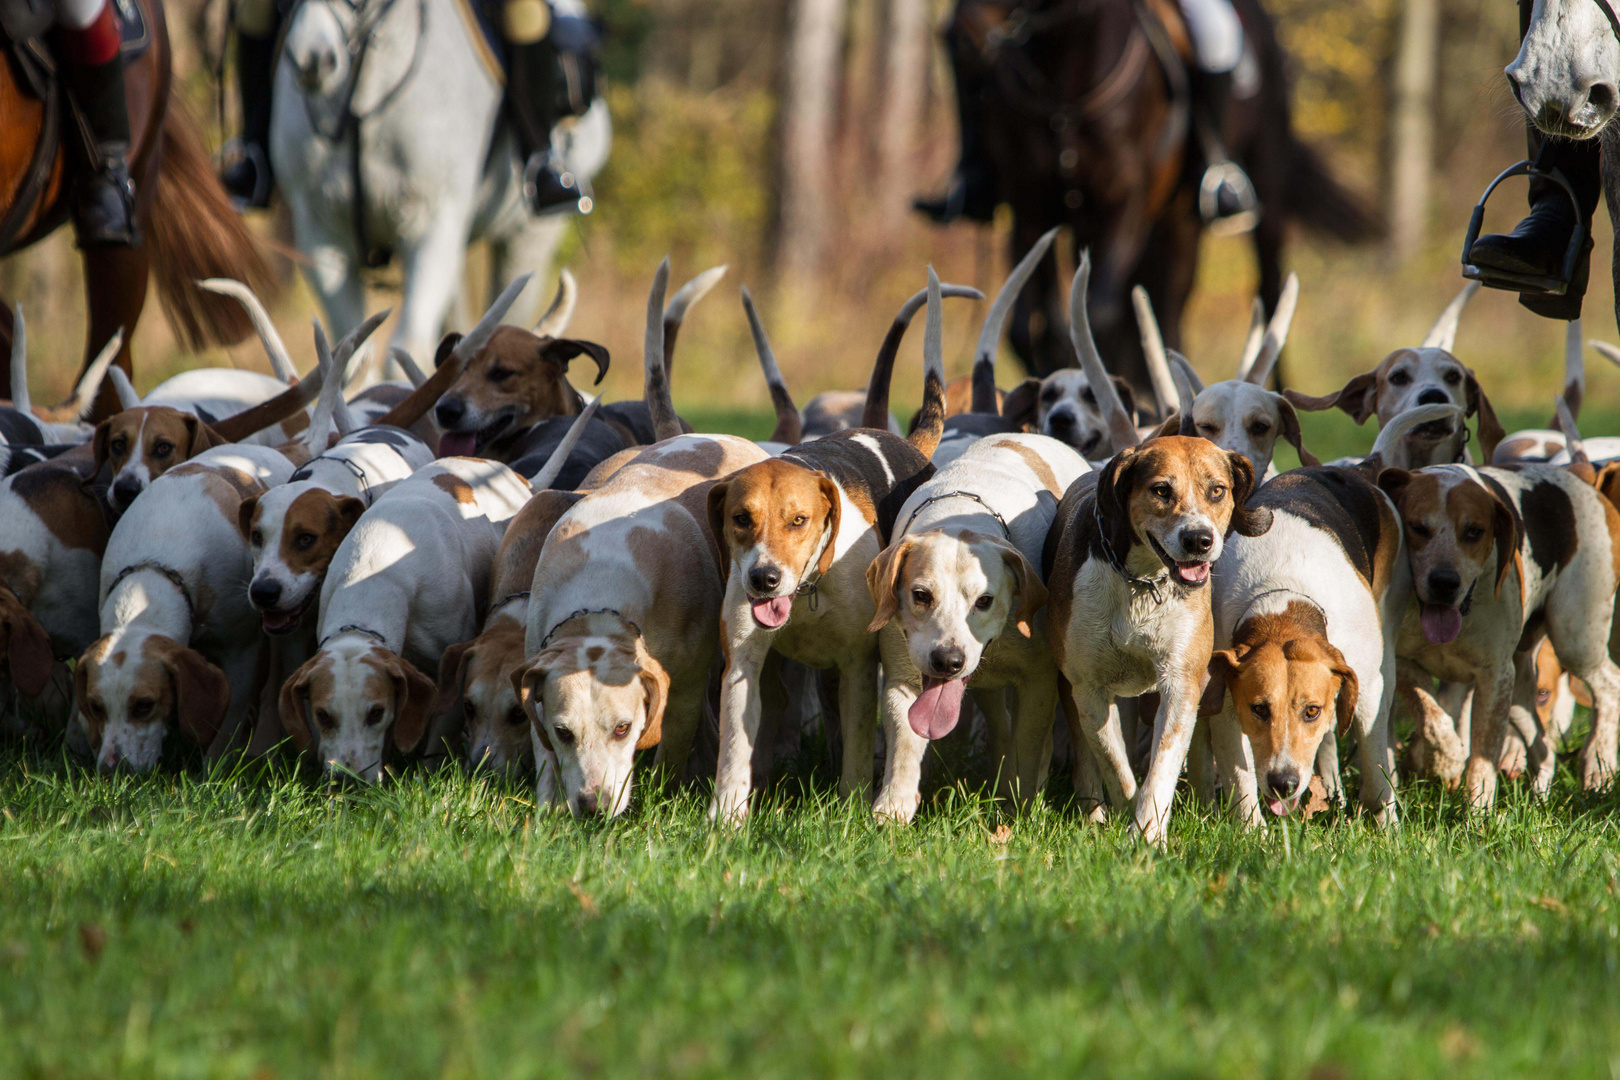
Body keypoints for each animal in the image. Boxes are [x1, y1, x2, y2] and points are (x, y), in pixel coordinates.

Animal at [275, 0, 609, 383]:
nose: (312, 58)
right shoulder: (321, 233)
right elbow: (353, 360)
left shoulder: (433, 223)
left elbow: (406, 347)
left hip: (529, 239)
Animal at [946, 0, 1380, 399]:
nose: (962, 33)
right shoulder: (1031, 210)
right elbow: (1033, 327)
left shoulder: (1124, 208)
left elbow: (1096, 318)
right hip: (1173, 221)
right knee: (1167, 303)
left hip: (1265, 189)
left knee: (1266, 290)